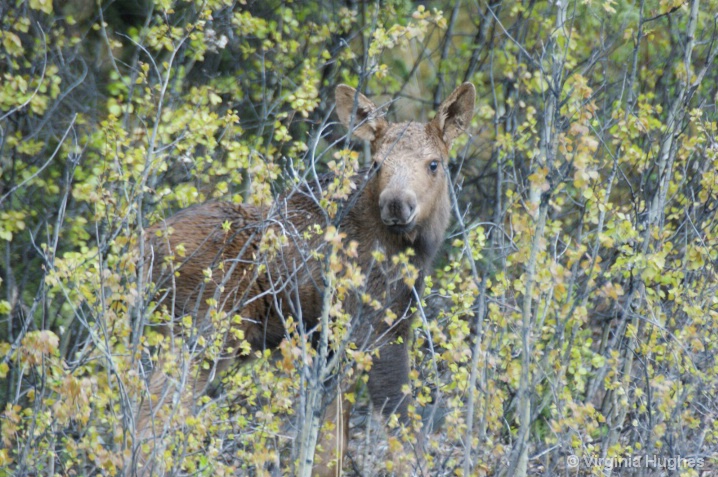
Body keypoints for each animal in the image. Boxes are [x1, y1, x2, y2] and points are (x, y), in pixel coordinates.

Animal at [137, 83, 476, 474]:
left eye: (434, 163)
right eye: (377, 163)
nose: (396, 204)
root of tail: (140, 246)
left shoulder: (339, 344)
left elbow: (332, 440)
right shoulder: (373, 332)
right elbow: (396, 435)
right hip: (205, 331)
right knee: (152, 413)